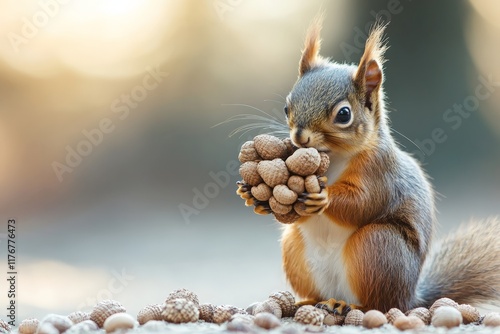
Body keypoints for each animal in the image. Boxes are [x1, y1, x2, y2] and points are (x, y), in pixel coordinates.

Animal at [242, 18, 500, 314]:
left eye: (344, 114)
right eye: (287, 107)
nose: (299, 137)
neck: (332, 157)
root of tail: (411, 297)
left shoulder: (380, 172)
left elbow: (364, 203)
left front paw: (324, 195)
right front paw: (253, 197)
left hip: (377, 248)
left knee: (380, 304)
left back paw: (349, 306)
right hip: (294, 247)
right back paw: (308, 301)